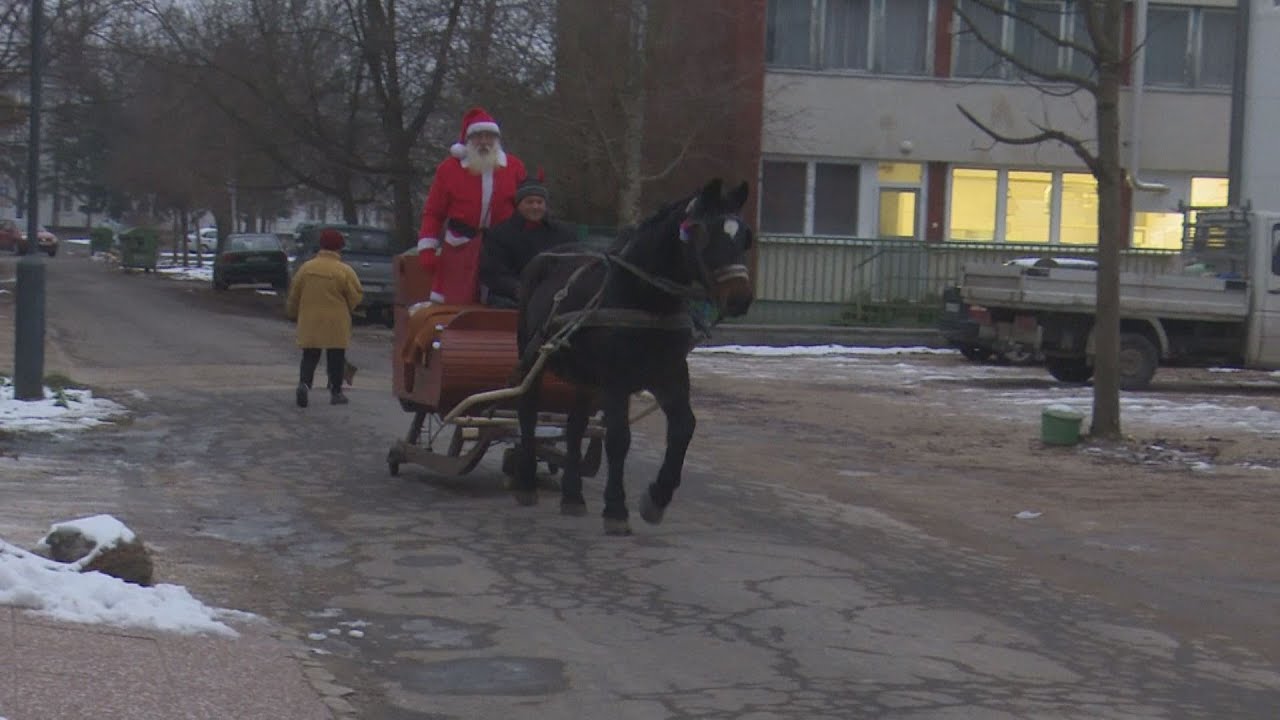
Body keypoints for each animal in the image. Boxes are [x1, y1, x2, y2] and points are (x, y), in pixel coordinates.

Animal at [509, 178, 752, 532]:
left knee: (576, 425)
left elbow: (684, 428)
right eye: (704, 234)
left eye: (745, 236)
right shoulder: (616, 380)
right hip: (532, 357)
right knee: (527, 410)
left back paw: (572, 495)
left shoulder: (670, 374)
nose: (740, 298)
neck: (646, 298)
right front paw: (615, 508)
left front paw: (656, 499)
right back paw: (526, 481)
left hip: (585, 377)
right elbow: (619, 438)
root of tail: (546, 257)